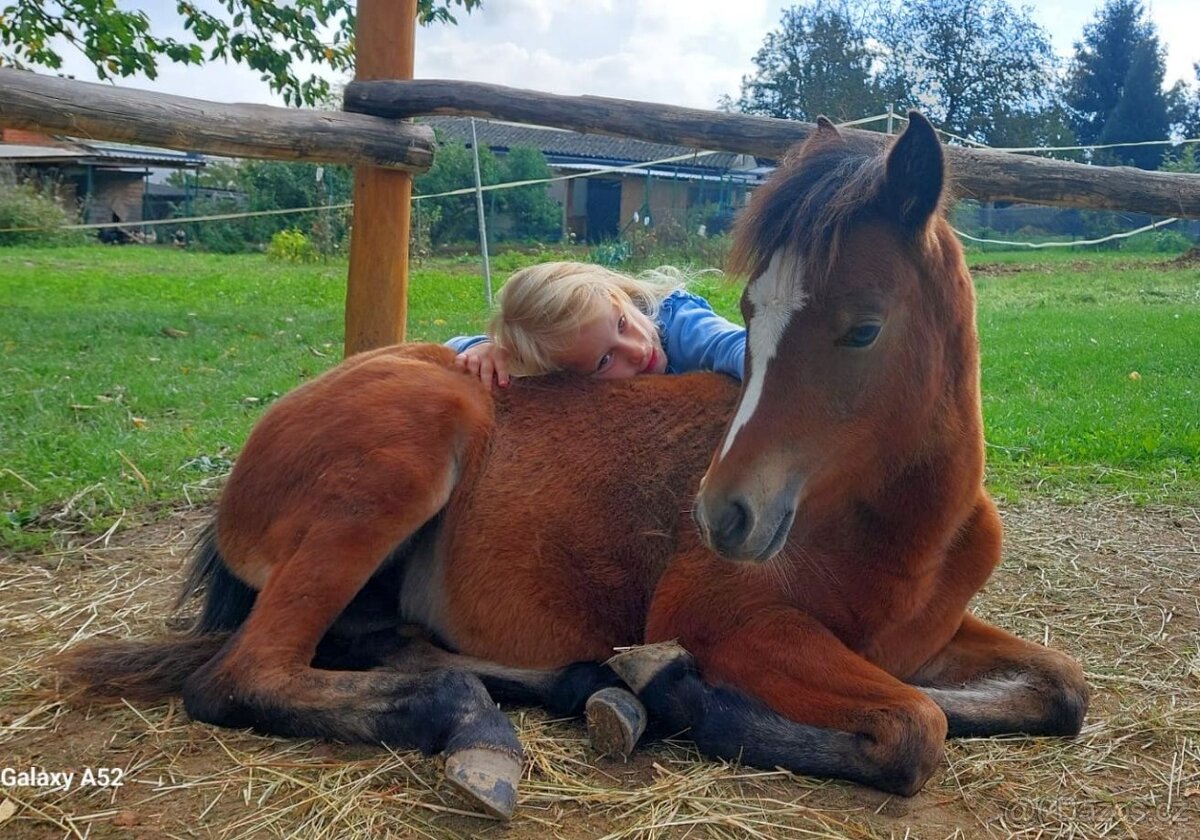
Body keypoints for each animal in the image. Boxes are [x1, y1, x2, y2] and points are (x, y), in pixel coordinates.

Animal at [63, 113, 1088, 820]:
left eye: (864, 328)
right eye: (749, 313)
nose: (724, 515)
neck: (906, 531)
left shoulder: (921, 639)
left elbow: (1057, 690)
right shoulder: (729, 618)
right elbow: (917, 728)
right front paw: (683, 692)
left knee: (379, 646)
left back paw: (570, 686)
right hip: (401, 464)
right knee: (239, 678)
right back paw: (493, 725)